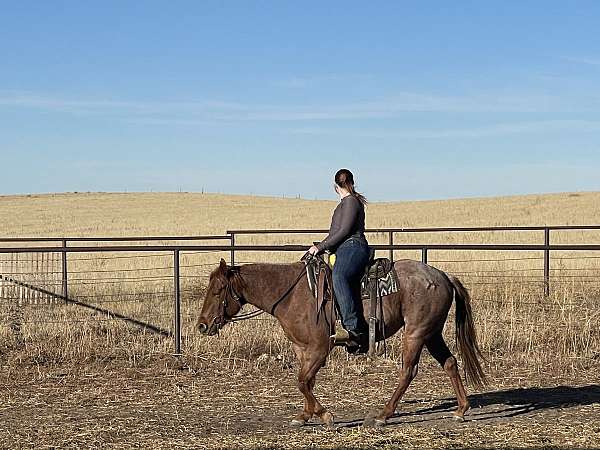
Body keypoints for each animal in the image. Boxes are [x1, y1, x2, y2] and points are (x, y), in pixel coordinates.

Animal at [197, 258, 488, 428]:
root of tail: (442, 275)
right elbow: (306, 381)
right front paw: (304, 415)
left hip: (416, 333)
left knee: (408, 371)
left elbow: (302, 381)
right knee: (450, 363)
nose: (202, 325)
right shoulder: (302, 349)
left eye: (217, 290)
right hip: (432, 333)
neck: (292, 294)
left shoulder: (318, 349)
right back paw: (461, 410)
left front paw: (324, 415)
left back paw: (383, 414)